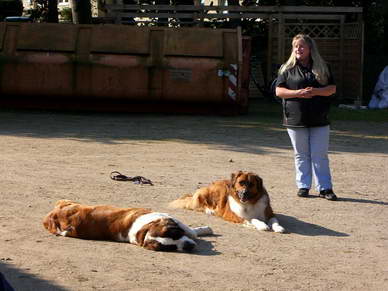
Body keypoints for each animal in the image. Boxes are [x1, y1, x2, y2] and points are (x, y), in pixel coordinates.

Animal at [44, 201, 214, 253]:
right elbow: (192, 231)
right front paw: (205, 230)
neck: (142, 230)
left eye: (174, 233)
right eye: (170, 247)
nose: (187, 246)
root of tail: (54, 215)